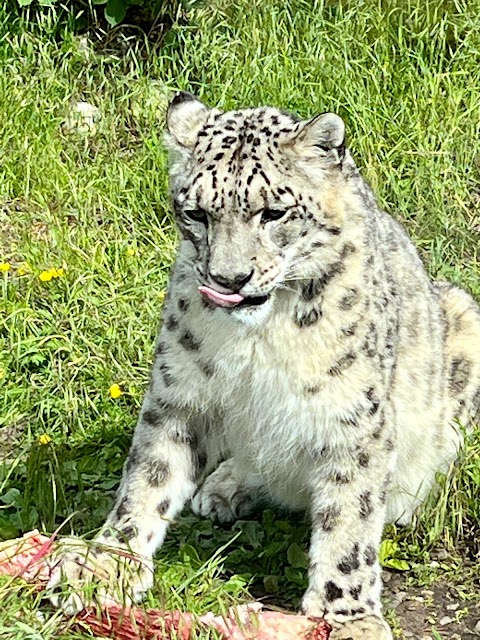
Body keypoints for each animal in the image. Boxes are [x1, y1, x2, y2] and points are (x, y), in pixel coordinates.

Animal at [47, 91, 480, 640]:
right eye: (196, 213)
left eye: (274, 212)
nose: (229, 278)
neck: (259, 338)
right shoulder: (179, 395)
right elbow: (148, 476)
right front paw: (106, 563)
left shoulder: (351, 418)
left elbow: (350, 517)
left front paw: (348, 616)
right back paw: (225, 485)